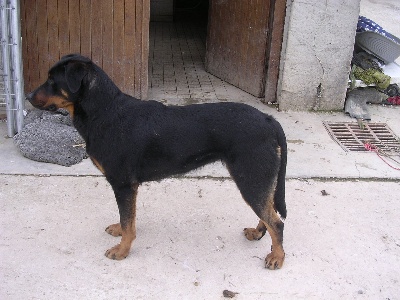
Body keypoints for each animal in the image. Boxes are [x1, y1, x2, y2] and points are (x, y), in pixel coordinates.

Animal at [27, 54, 288, 270]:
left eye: (52, 80)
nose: (28, 97)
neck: (104, 111)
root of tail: (269, 120)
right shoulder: (127, 187)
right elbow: (127, 218)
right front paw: (120, 232)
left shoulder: (123, 184)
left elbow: (128, 221)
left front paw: (122, 251)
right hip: (257, 178)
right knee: (269, 211)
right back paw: (258, 234)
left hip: (251, 177)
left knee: (276, 221)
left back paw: (277, 257)